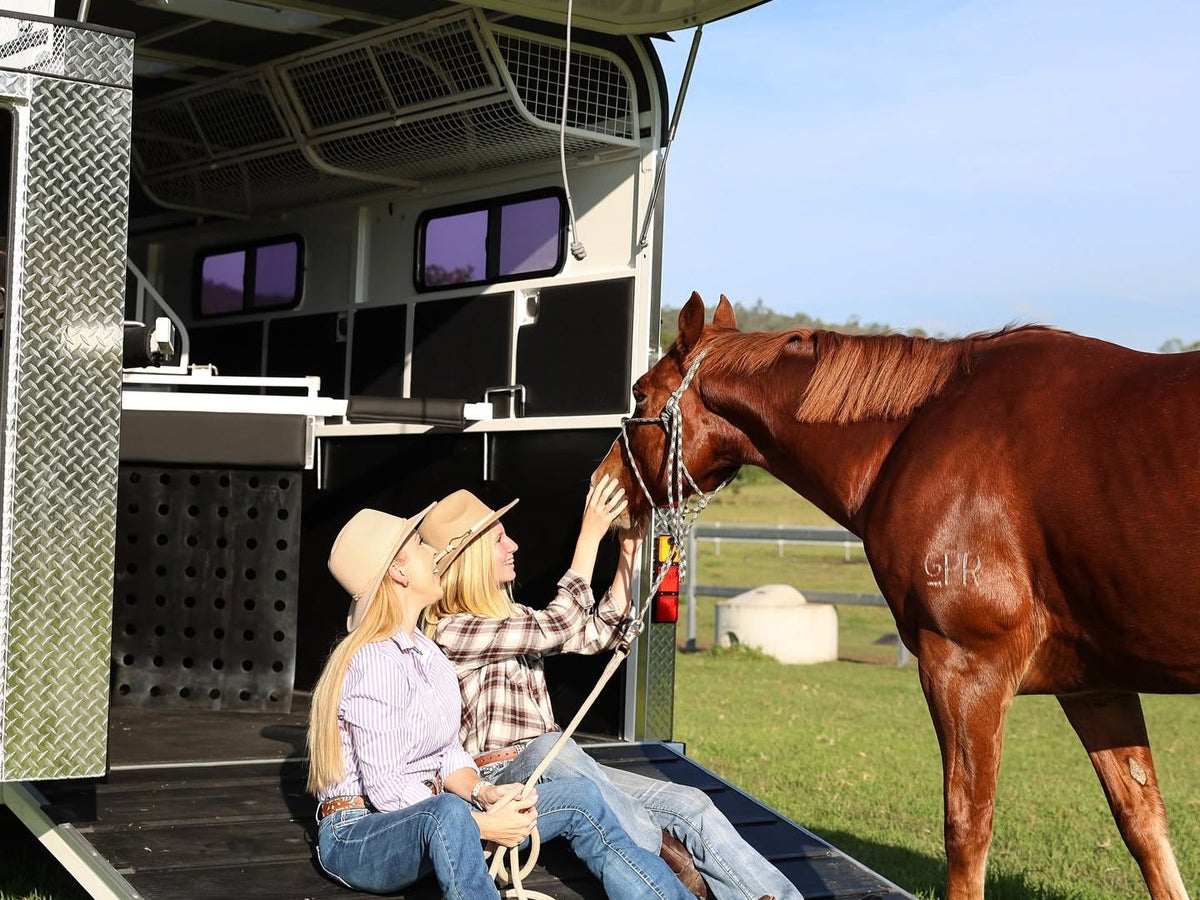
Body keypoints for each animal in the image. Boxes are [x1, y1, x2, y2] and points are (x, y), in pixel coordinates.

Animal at [592, 292, 1199, 900]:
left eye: (639, 392)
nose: (603, 484)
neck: (917, 433)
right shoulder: (1096, 686)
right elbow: (1144, 824)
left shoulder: (966, 669)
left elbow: (967, 828)